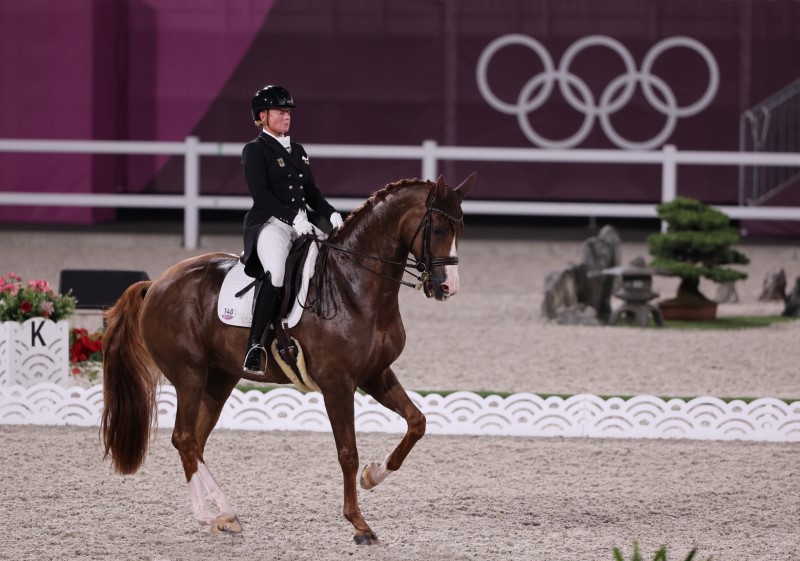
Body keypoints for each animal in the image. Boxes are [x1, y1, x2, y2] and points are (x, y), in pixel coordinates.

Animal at [100, 172, 476, 544]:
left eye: (461, 228)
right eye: (438, 229)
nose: (448, 287)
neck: (353, 285)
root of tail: (155, 284)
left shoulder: (376, 374)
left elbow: (417, 422)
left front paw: (373, 475)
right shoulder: (338, 384)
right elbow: (348, 453)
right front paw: (359, 524)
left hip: (219, 378)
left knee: (193, 441)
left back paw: (224, 516)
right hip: (189, 374)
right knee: (185, 438)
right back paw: (210, 516)